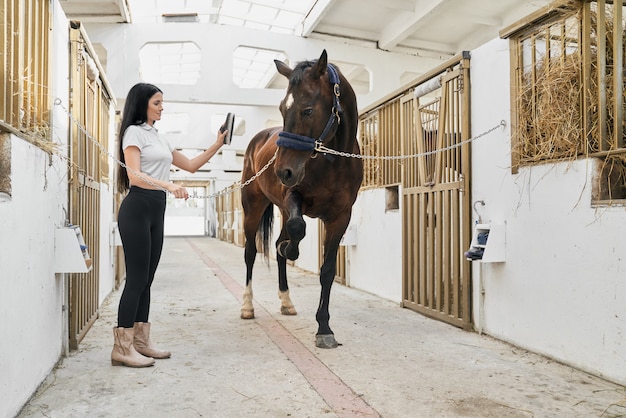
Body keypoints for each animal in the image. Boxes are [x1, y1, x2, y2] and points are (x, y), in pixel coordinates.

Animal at [241, 49, 364, 350]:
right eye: (282, 109)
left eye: (307, 110)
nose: (282, 172)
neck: (334, 162)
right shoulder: (293, 197)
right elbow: (297, 231)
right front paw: (290, 249)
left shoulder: (341, 217)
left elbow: (327, 270)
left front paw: (324, 328)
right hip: (253, 207)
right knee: (250, 252)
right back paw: (247, 305)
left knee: (276, 245)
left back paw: (286, 301)